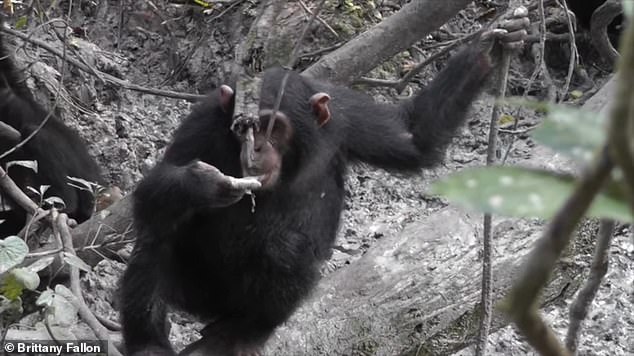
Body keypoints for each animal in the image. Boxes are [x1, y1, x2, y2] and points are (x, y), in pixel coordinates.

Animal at [119, 8, 528, 356]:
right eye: (243, 128)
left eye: (272, 127)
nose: (257, 147)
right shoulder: (203, 119)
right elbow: (152, 186)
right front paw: (203, 184)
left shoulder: (347, 116)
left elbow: (413, 136)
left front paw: (490, 46)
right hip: (195, 295)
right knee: (158, 231)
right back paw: (148, 342)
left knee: (285, 250)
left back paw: (243, 332)